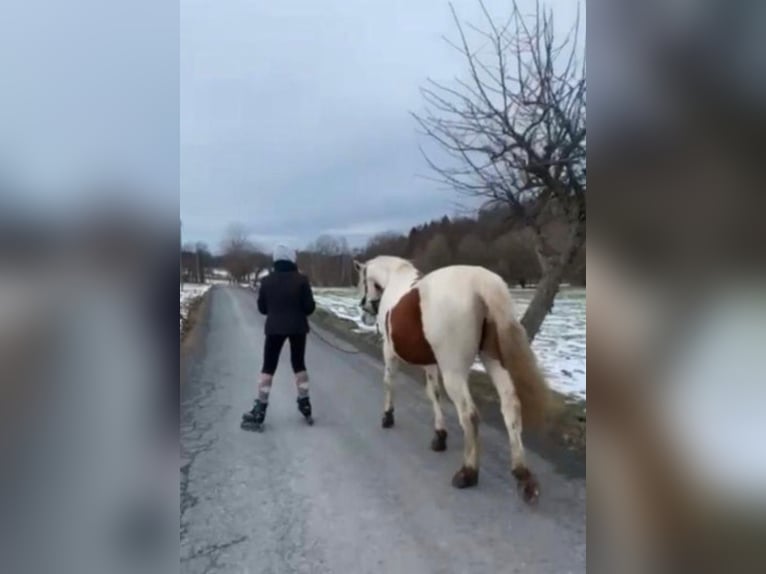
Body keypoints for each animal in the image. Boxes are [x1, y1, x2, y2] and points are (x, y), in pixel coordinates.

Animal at [353, 256, 550, 503]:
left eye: (362, 282)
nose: (365, 314)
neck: (393, 279)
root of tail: (480, 281)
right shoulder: (430, 361)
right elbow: (433, 393)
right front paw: (439, 436)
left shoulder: (389, 351)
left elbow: (389, 382)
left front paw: (387, 417)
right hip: (493, 359)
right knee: (511, 406)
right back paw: (522, 475)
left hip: (454, 371)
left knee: (469, 415)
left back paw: (468, 472)